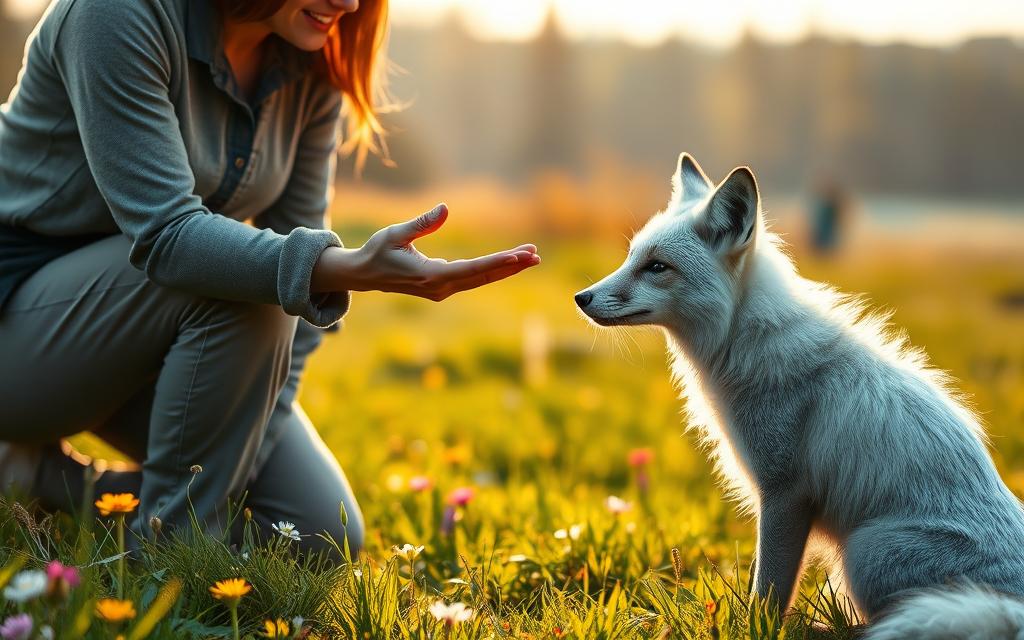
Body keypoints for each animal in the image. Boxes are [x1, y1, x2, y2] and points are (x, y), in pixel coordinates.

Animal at [574, 153, 1024, 639]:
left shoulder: (784, 493)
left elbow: (768, 589)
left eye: (657, 267)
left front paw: (755, 626)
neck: (742, 339)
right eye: (631, 258)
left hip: (865, 550)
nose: (582, 297)